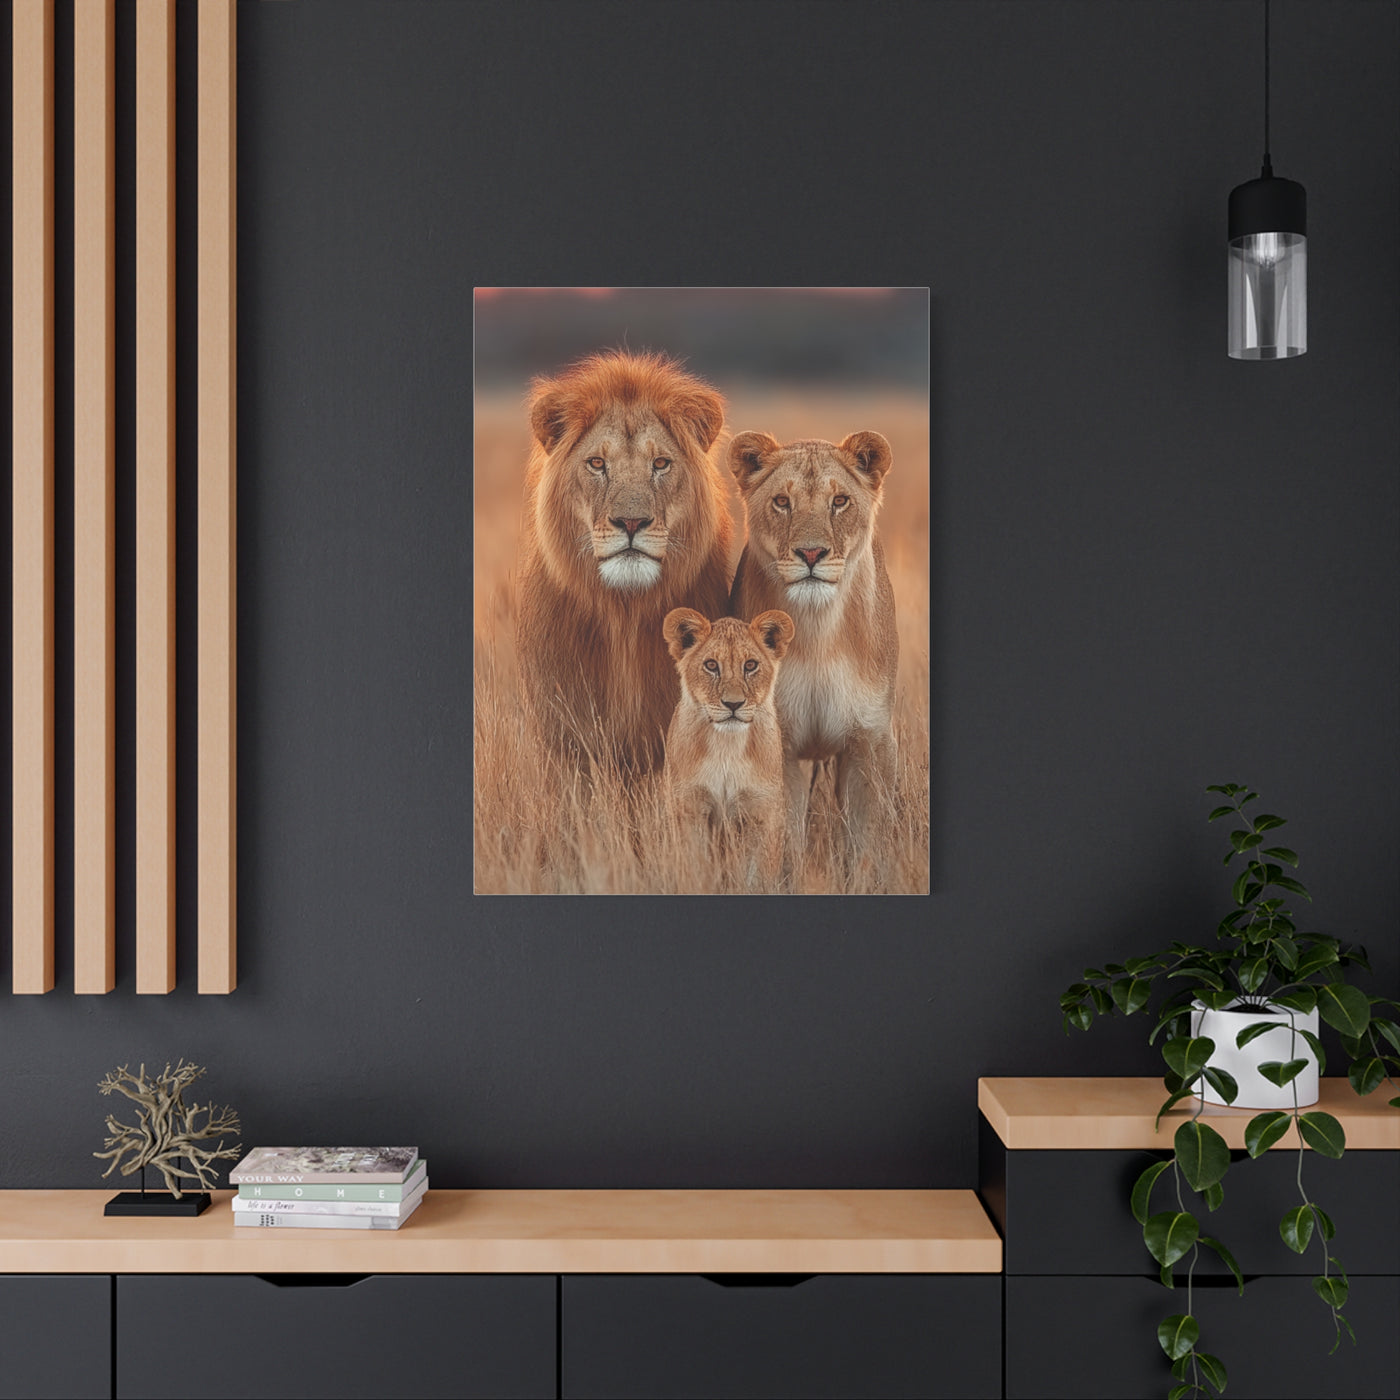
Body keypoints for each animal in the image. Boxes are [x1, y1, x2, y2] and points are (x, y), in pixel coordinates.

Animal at [661, 607, 795, 889]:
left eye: (751, 665)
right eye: (711, 665)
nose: (733, 704)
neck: (726, 746)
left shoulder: (763, 813)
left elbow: (758, 877)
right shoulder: (689, 808)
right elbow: (695, 870)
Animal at [727, 430, 898, 856]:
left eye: (839, 501)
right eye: (782, 502)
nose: (811, 553)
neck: (817, 630)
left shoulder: (871, 742)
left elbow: (868, 844)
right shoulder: (780, 743)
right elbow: (784, 842)